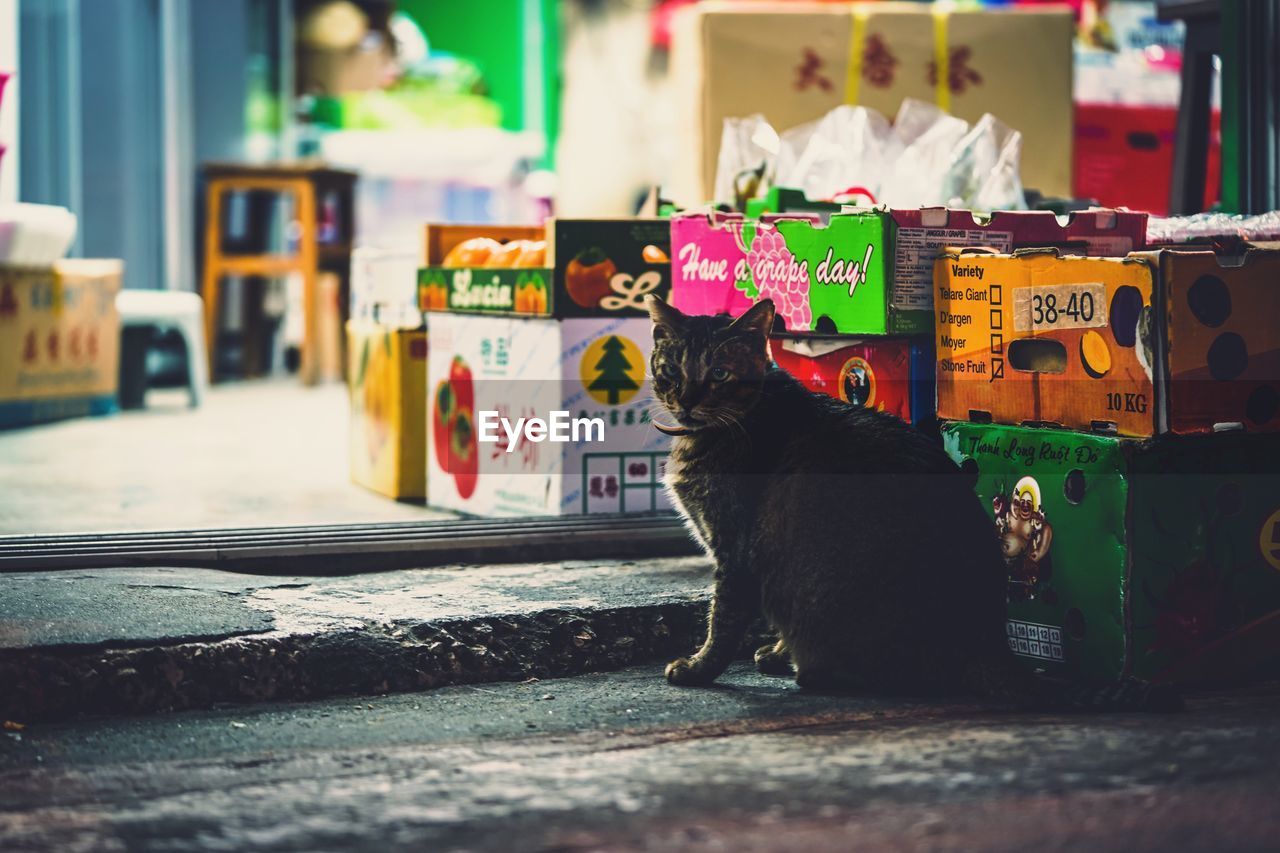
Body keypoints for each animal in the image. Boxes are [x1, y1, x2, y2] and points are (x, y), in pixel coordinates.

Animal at [650, 295, 1177, 706]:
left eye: (719, 373)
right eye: (671, 369)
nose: (686, 400)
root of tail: (987, 640)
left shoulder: (736, 551)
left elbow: (723, 621)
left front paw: (697, 669)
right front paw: (772, 653)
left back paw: (814, 671)